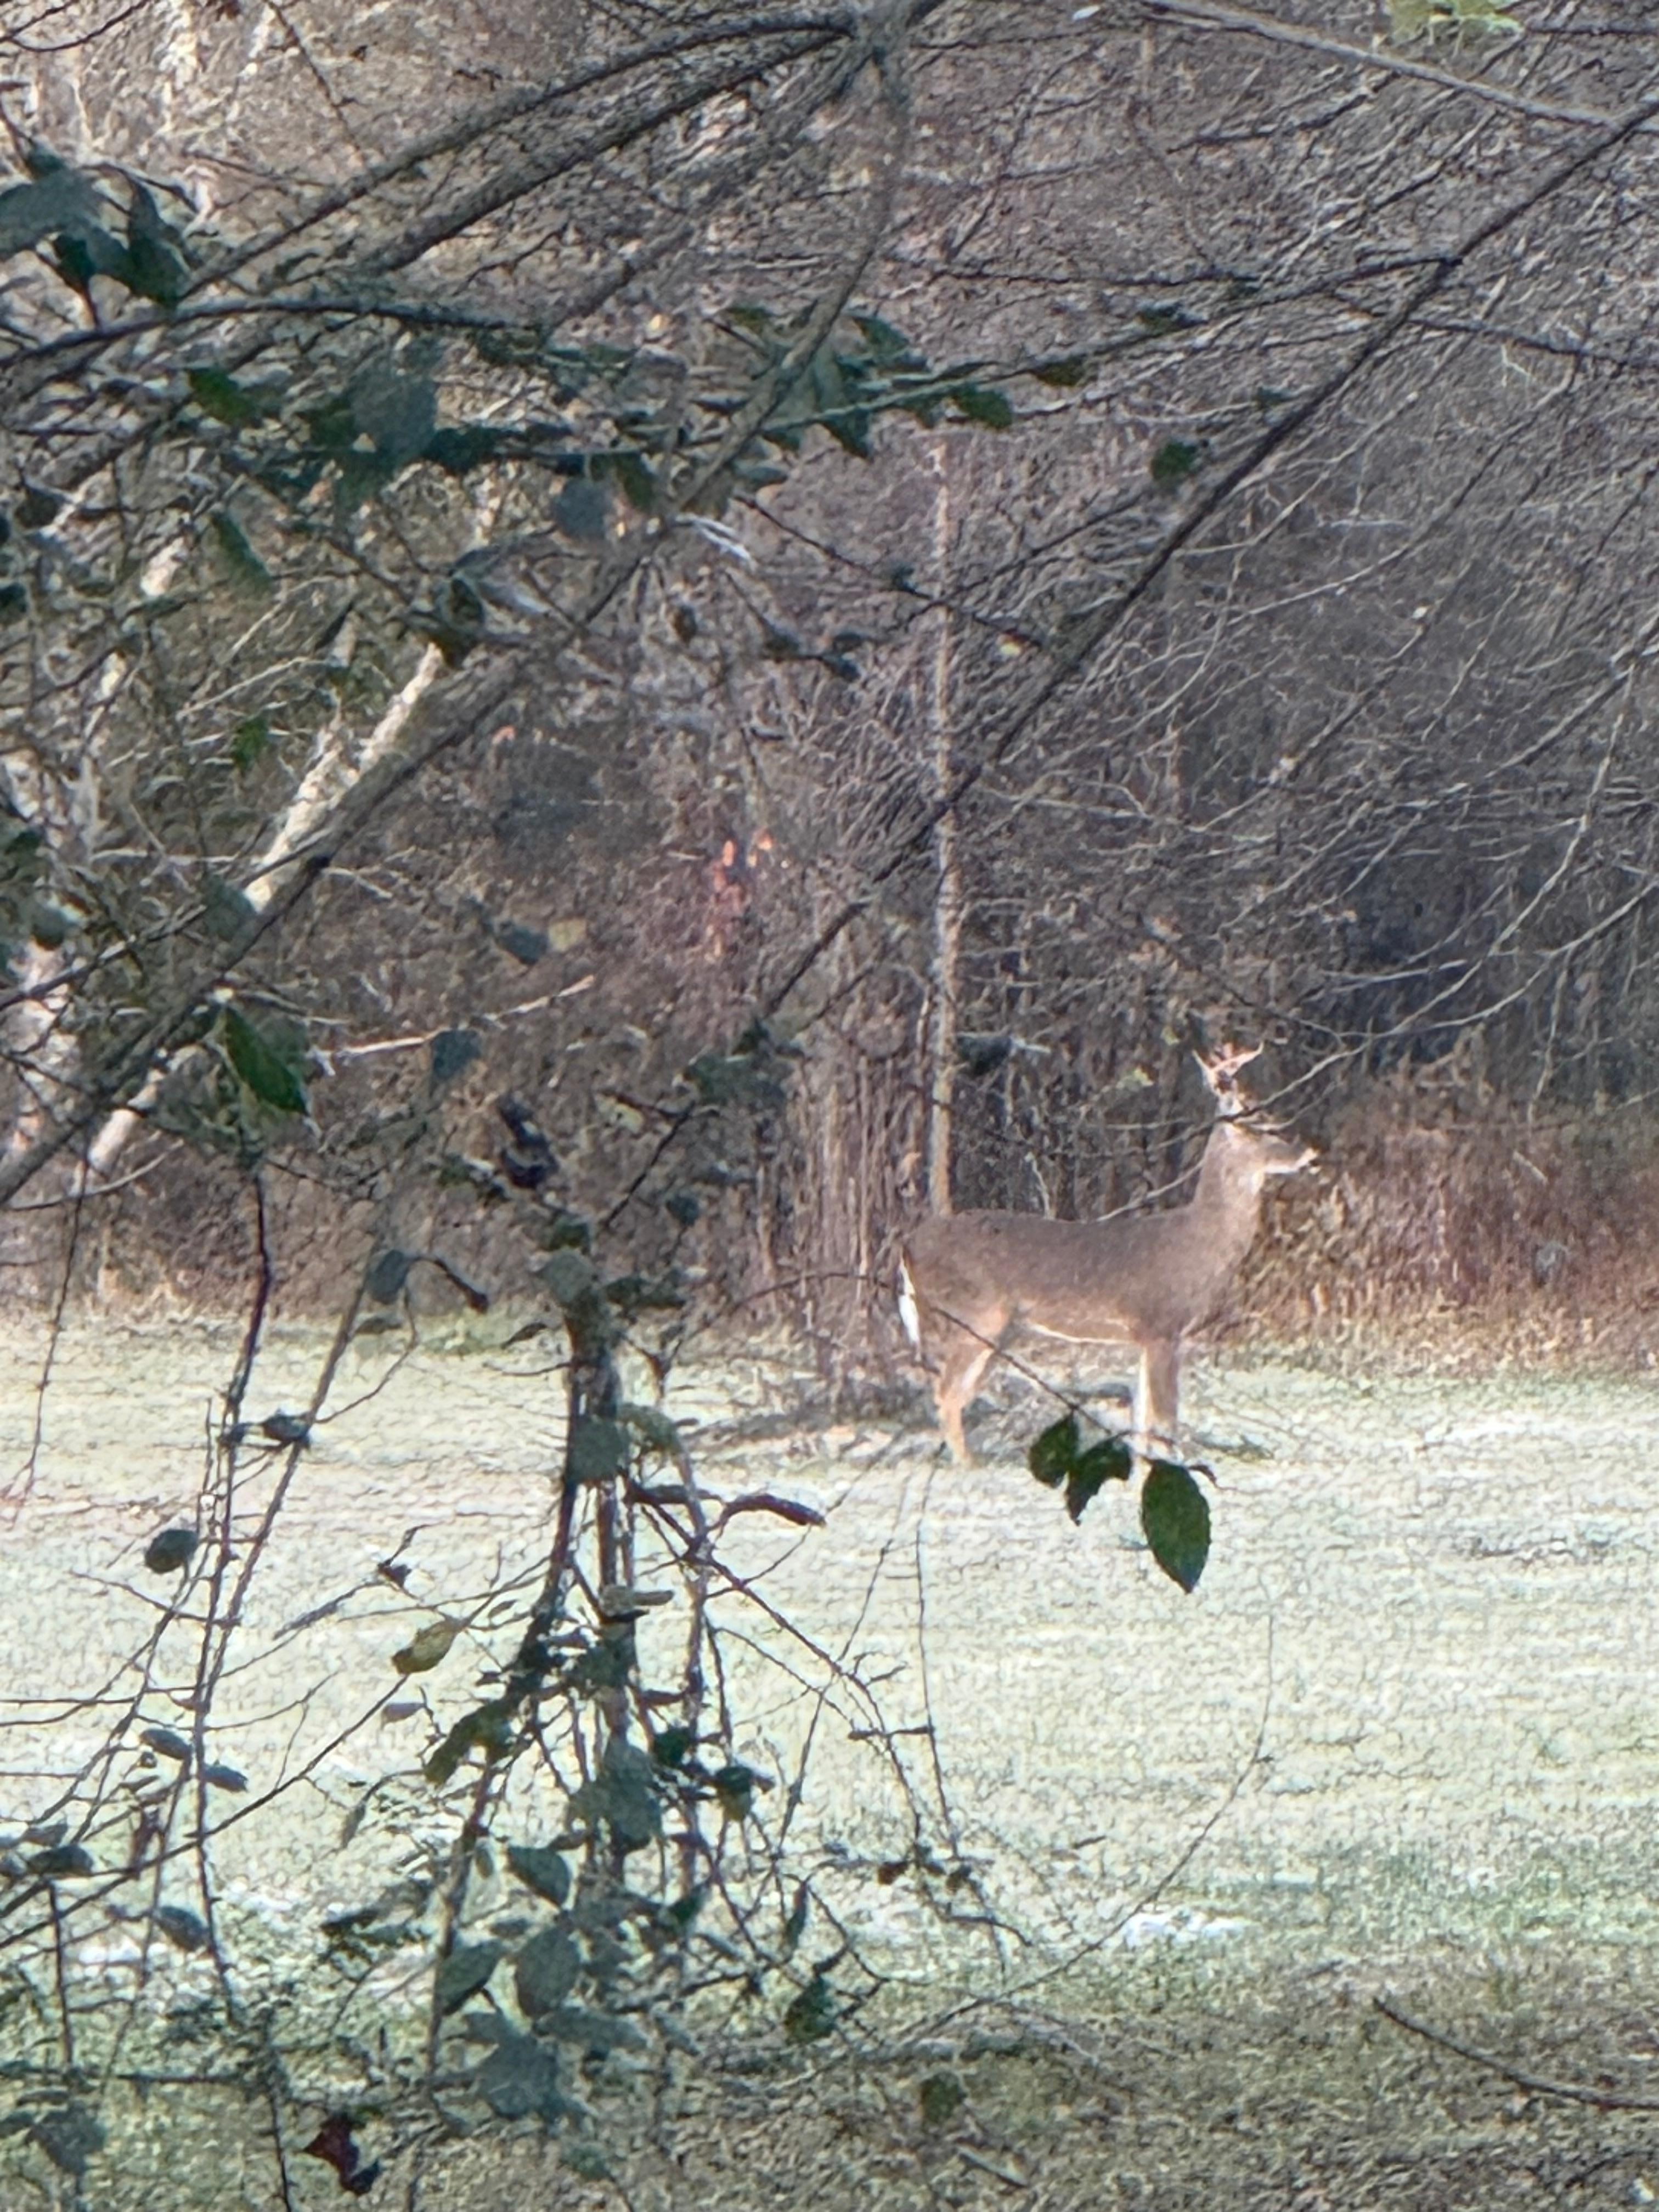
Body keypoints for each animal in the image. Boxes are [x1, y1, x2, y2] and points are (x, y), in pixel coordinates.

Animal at [898, 1045, 1315, 1466]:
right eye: (1257, 1123)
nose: (1308, 1151)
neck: (1199, 1243)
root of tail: (908, 1245)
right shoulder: (1162, 1324)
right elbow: (1166, 1418)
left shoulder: (1144, 1337)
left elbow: (1142, 1418)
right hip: (975, 1312)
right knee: (946, 1392)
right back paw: (968, 1465)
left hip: (993, 1327)